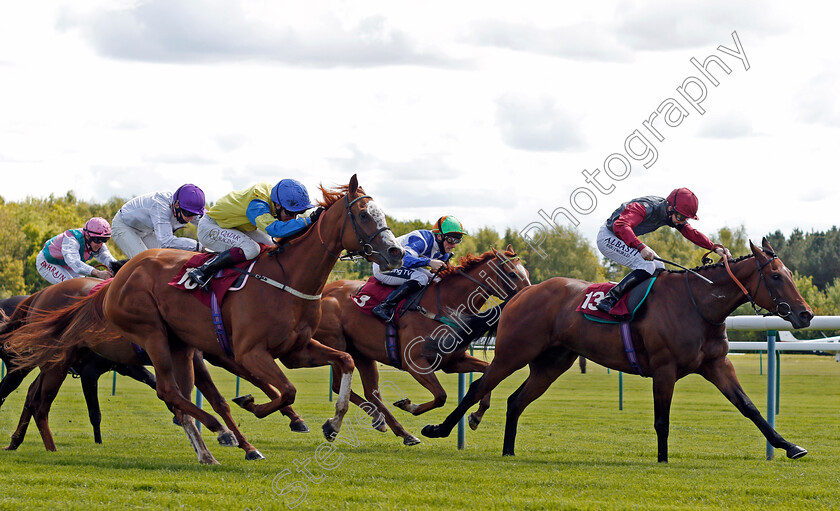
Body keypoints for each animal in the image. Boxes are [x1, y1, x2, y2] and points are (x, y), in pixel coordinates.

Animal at [3, 175, 404, 464]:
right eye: (364, 215)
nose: (395, 251)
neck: (287, 277)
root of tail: (120, 278)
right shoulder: (247, 352)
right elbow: (281, 391)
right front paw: (254, 411)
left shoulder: (296, 348)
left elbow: (345, 362)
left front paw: (332, 423)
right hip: (144, 336)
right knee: (163, 391)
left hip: (176, 345)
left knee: (174, 395)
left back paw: (208, 451)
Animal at [316, 247, 532, 444]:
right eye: (512, 274)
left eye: (527, 273)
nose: (527, 295)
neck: (444, 305)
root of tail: (324, 290)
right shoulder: (414, 363)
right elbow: (441, 396)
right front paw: (408, 405)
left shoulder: (453, 362)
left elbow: (486, 374)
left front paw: (476, 416)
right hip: (337, 342)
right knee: (339, 385)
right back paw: (335, 425)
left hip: (363, 353)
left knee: (371, 392)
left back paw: (393, 427)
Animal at [424, 240, 816, 464]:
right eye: (776, 276)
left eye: (789, 273)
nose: (806, 314)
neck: (697, 305)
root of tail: (523, 292)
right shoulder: (664, 368)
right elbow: (662, 419)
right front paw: (662, 460)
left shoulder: (716, 364)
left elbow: (749, 407)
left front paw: (790, 446)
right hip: (513, 352)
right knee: (480, 387)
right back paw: (439, 429)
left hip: (552, 363)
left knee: (516, 400)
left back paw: (508, 451)